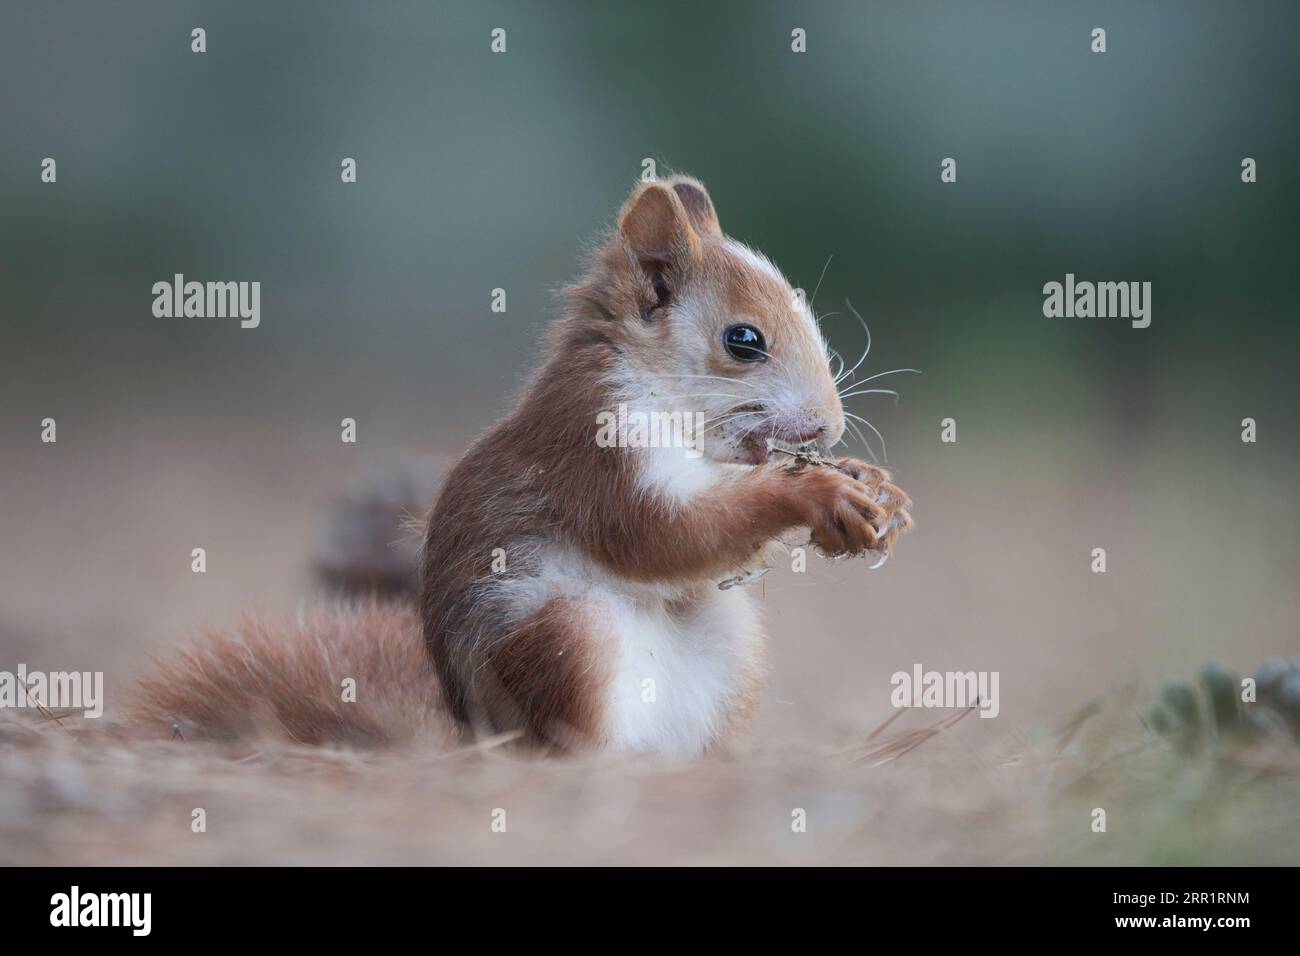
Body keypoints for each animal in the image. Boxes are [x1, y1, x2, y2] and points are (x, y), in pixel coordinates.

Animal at [129, 176, 913, 756]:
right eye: (743, 340)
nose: (829, 426)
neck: (654, 390)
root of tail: (475, 738)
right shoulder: (593, 446)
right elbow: (659, 535)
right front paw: (816, 492)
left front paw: (871, 487)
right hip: (568, 634)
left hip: (731, 642)